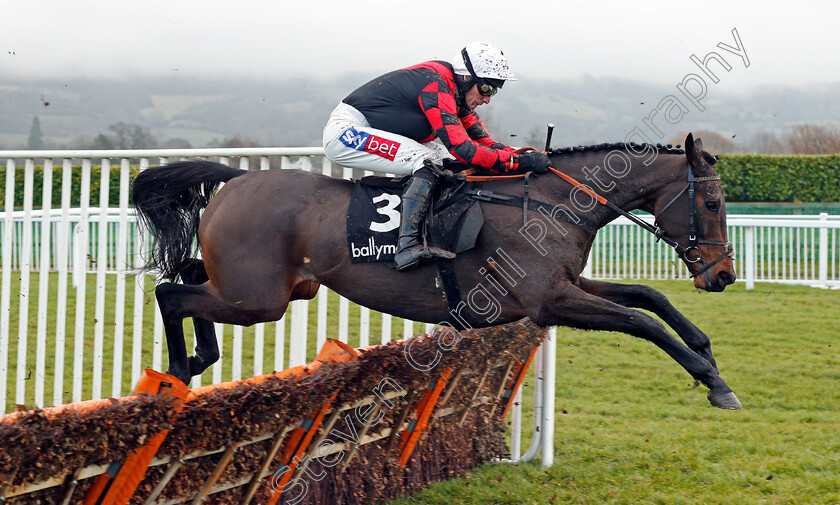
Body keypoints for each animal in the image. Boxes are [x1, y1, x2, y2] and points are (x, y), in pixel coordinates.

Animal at [133, 133, 740, 410]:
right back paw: (180, 368)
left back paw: (196, 359)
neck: (547, 202)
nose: (722, 277)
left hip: (267, 287)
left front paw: (706, 350)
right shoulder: (546, 299)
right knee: (170, 292)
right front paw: (714, 382)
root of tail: (238, 176)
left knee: (188, 274)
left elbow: (647, 297)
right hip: (259, 299)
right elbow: (641, 321)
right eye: (712, 204)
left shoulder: (566, 284)